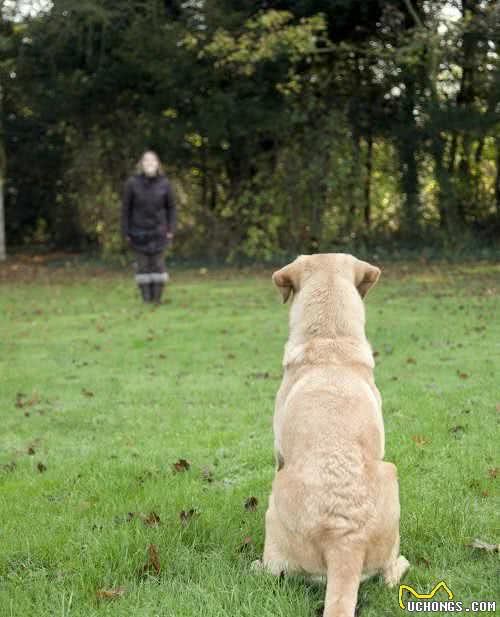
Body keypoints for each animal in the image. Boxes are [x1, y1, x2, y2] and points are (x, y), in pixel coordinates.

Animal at [256, 254, 408, 616]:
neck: (330, 341)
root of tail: (344, 540)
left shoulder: (278, 454)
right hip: (390, 472)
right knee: (386, 574)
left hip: (276, 497)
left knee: (273, 572)